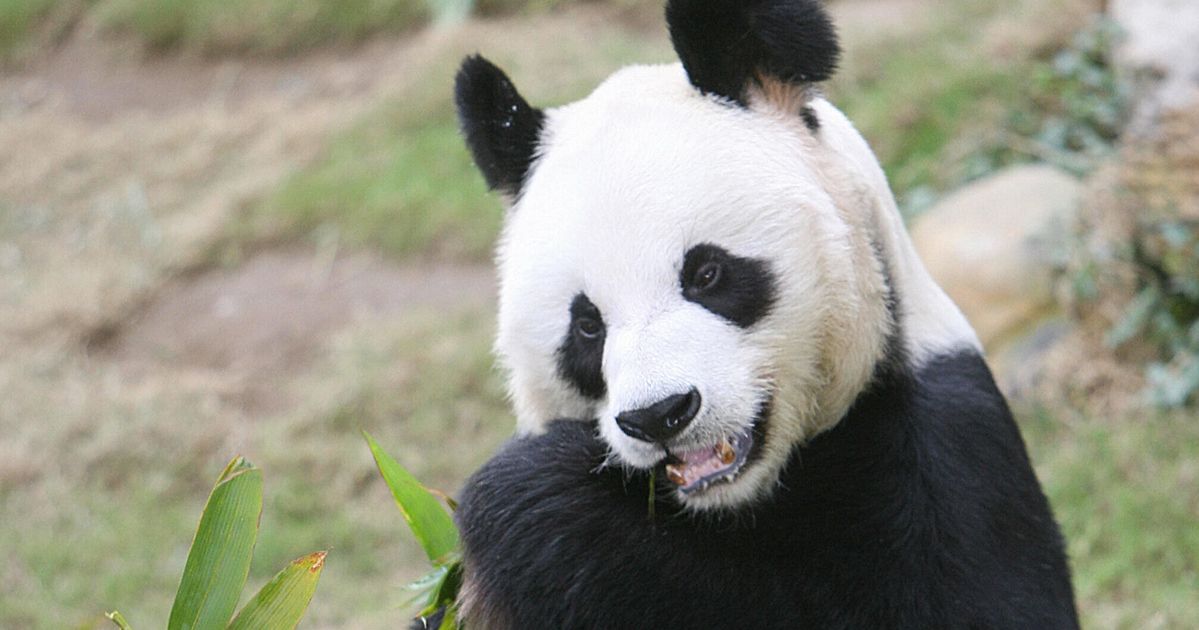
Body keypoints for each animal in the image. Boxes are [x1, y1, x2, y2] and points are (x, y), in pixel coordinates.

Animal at [431, 1, 1079, 624]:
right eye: (587, 325)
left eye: (707, 274)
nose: (660, 415)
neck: (737, 500)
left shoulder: (948, 455)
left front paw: (529, 497)